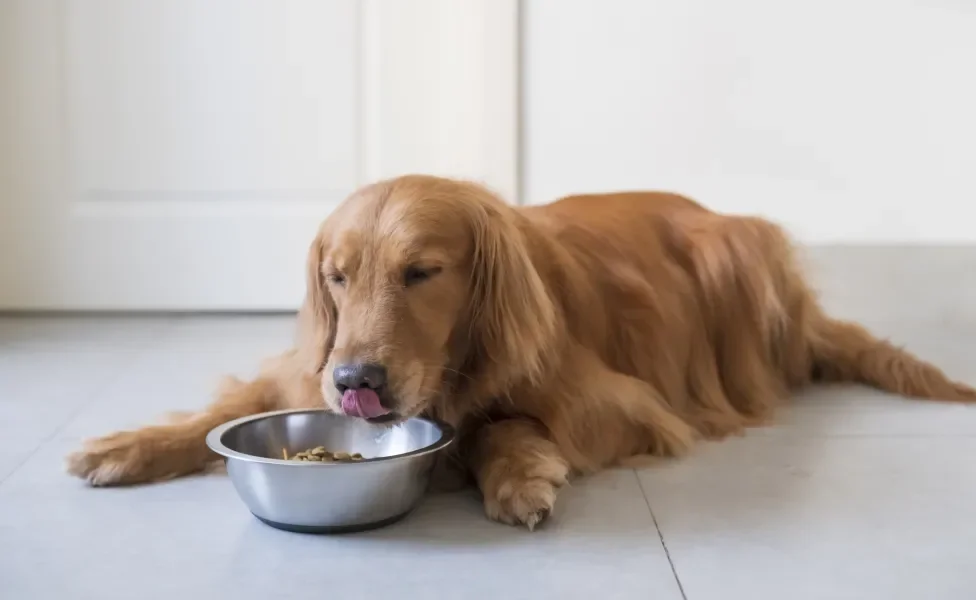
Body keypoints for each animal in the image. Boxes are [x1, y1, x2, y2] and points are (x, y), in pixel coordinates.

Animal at [68, 175, 976, 528]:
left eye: (422, 272)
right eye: (336, 276)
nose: (358, 380)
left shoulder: (622, 404)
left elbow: (498, 424)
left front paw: (515, 475)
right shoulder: (305, 366)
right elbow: (224, 409)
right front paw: (127, 445)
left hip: (738, 255)